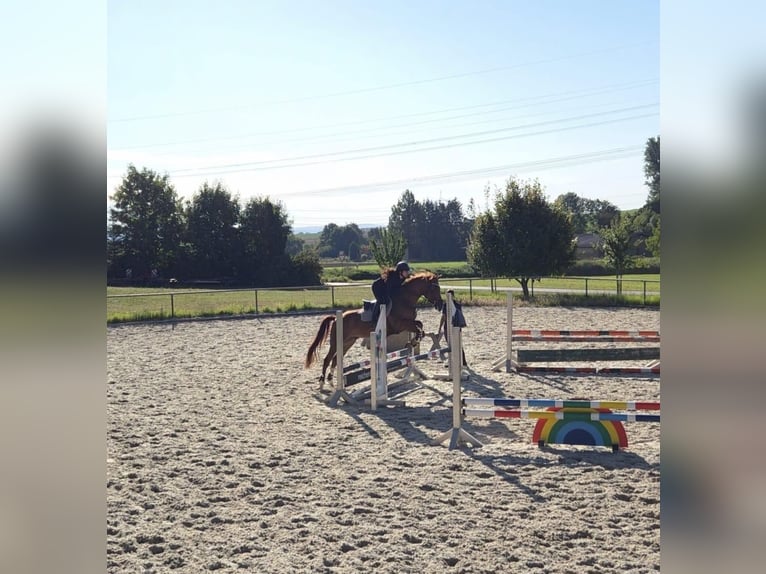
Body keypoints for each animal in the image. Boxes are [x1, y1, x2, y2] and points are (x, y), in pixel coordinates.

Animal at [305, 271, 444, 385]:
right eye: (435, 288)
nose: (440, 305)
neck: (405, 300)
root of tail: (336, 318)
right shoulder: (400, 325)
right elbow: (418, 327)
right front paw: (414, 341)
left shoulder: (409, 322)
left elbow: (420, 325)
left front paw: (413, 342)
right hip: (336, 342)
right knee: (327, 359)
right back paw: (322, 381)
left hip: (348, 342)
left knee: (335, 359)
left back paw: (330, 379)